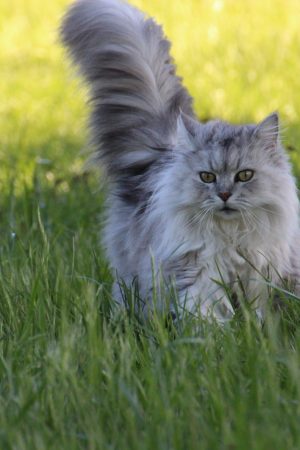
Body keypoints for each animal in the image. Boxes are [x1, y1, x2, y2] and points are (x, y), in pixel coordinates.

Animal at [61, 0, 300, 324]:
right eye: (207, 177)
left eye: (245, 175)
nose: (224, 195)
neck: (231, 237)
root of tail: (162, 152)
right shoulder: (197, 271)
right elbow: (205, 312)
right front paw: (215, 335)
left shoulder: (265, 272)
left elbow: (262, 313)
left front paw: (257, 330)